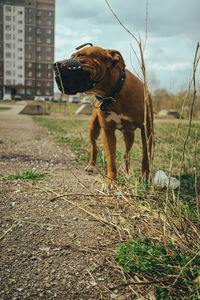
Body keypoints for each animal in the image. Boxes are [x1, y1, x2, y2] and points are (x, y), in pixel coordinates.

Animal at [54, 45, 153, 184]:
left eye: (80, 55)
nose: (55, 65)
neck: (113, 94)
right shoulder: (107, 131)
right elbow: (110, 158)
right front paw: (111, 181)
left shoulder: (147, 129)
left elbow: (146, 156)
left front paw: (145, 177)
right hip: (93, 129)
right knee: (94, 146)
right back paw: (91, 165)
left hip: (129, 135)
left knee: (126, 153)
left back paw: (128, 172)